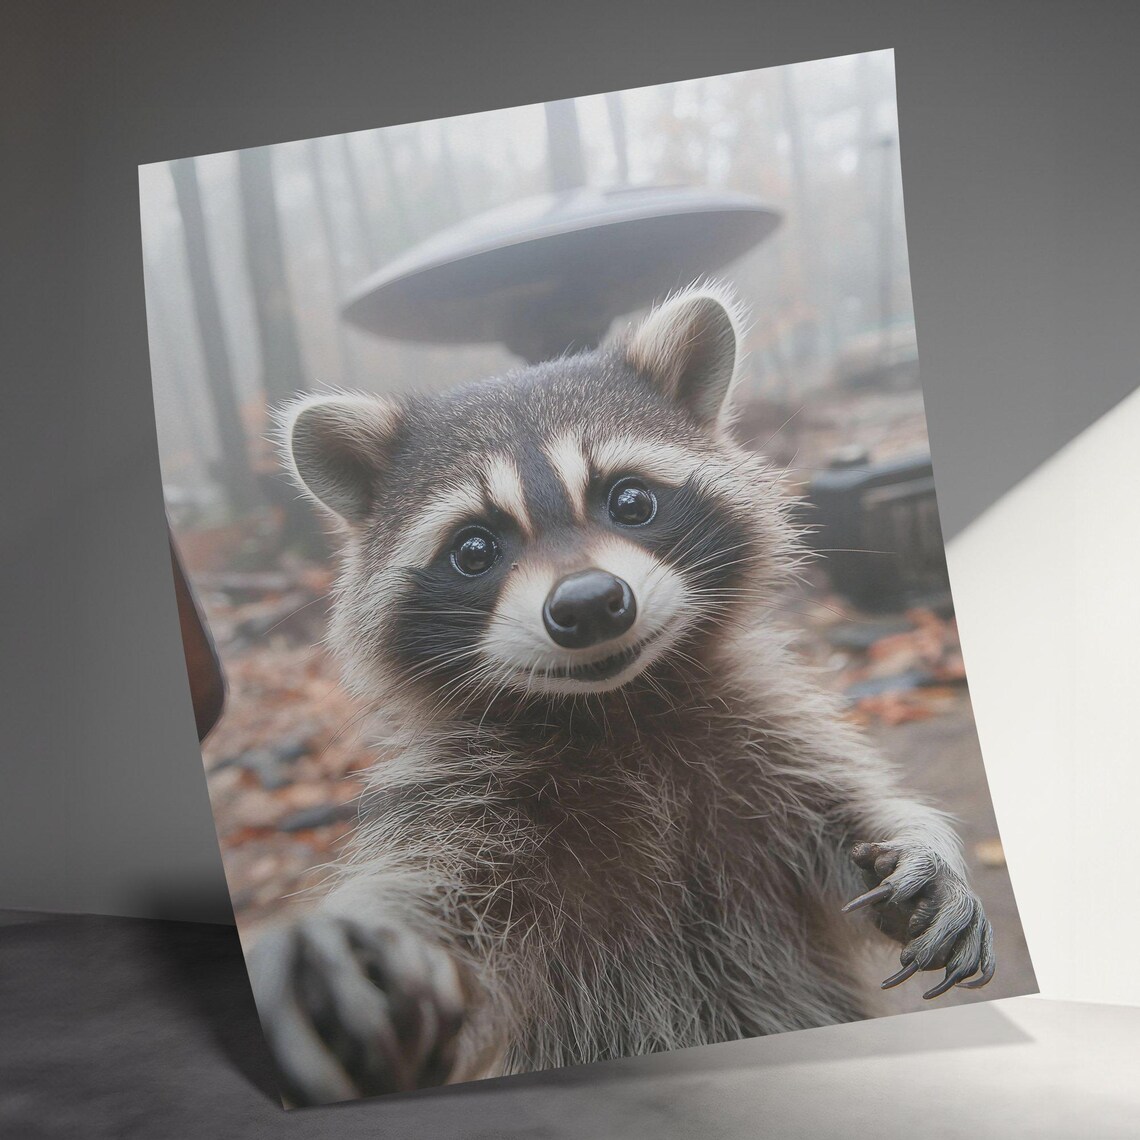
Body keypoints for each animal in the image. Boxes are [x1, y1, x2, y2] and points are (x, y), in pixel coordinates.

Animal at [249, 284, 994, 1107]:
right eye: (474, 549)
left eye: (631, 501)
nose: (588, 605)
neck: (616, 708)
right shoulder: (467, 812)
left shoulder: (758, 735)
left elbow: (837, 813)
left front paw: (915, 843)